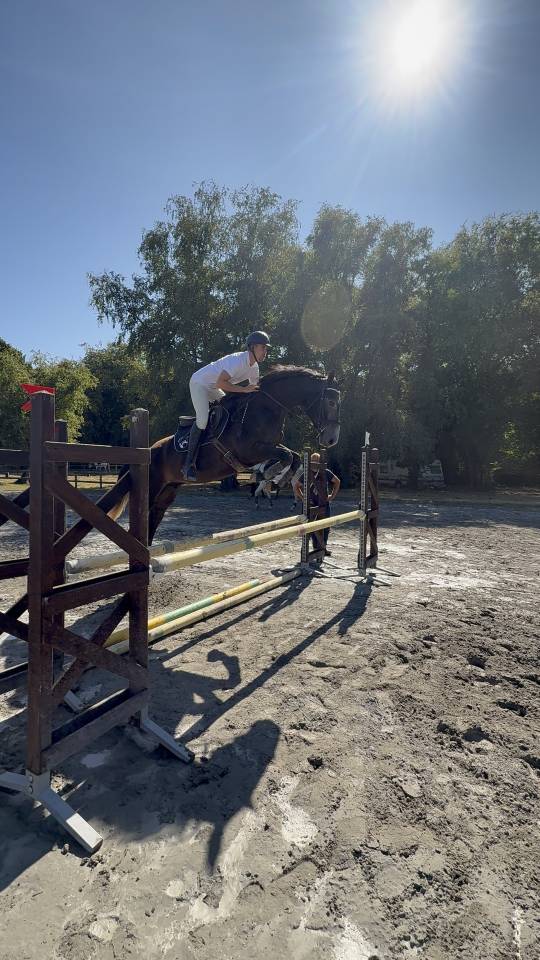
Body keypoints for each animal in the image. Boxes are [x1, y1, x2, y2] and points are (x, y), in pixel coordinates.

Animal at [113, 366, 341, 543]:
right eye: (330, 402)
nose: (331, 440)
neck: (267, 408)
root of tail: (150, 450)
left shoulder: (270, 446)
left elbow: (293, 456)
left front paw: (279, 478)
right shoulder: (251, 450)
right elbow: (285, 456)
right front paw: (272, 476)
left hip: (167, 491)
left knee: (153, 520)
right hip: (152, 487)